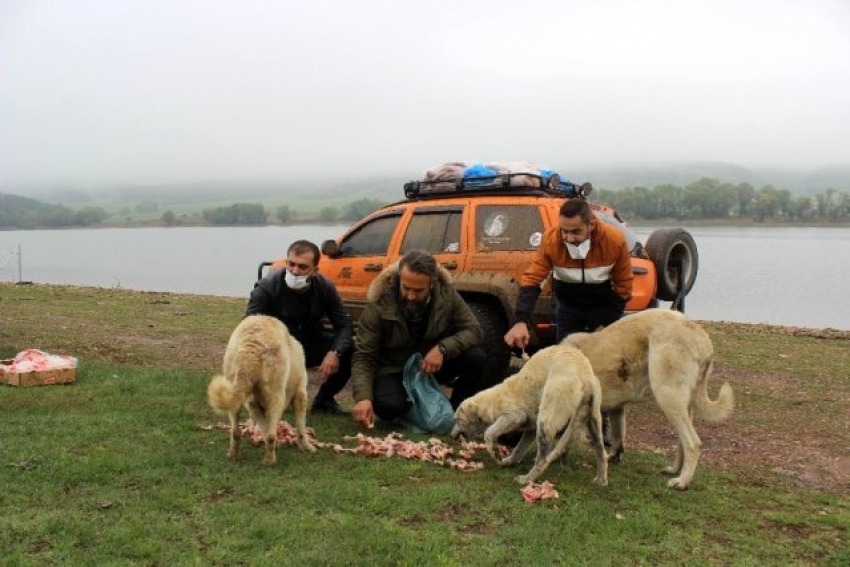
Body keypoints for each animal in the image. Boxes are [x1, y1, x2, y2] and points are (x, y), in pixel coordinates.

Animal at [207, 316, 316, 466]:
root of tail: (250, 346)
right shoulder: (300, 395)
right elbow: (301, 429)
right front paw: (307, 447)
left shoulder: (254, 404)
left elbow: (264, 425)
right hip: (276, 395)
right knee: (270, 435)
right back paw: (270, 460)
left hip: (237, 393)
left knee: (236, 432)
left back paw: (233, 455)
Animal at [448, 344, 608, 486]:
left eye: (457, 420)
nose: (451, 436)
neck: (490, 401)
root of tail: (585, 374)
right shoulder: (530, 427)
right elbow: (519, 448)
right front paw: (508, 461)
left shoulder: (514, 415)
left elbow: (489, 431)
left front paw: (495, 451)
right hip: (593, 417)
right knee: (601, 449)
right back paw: (601, 480)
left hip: (549, 410)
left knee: (543, 459)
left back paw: (527, 479)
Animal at [564, 308, 728, 490]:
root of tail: (700, 335)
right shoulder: (616, 408)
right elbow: (617, 435)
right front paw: (612, 457)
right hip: (684, 404)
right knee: (682, 441)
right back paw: (675, 470)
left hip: (667, 396)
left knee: (693, 443)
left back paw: (682, 481)